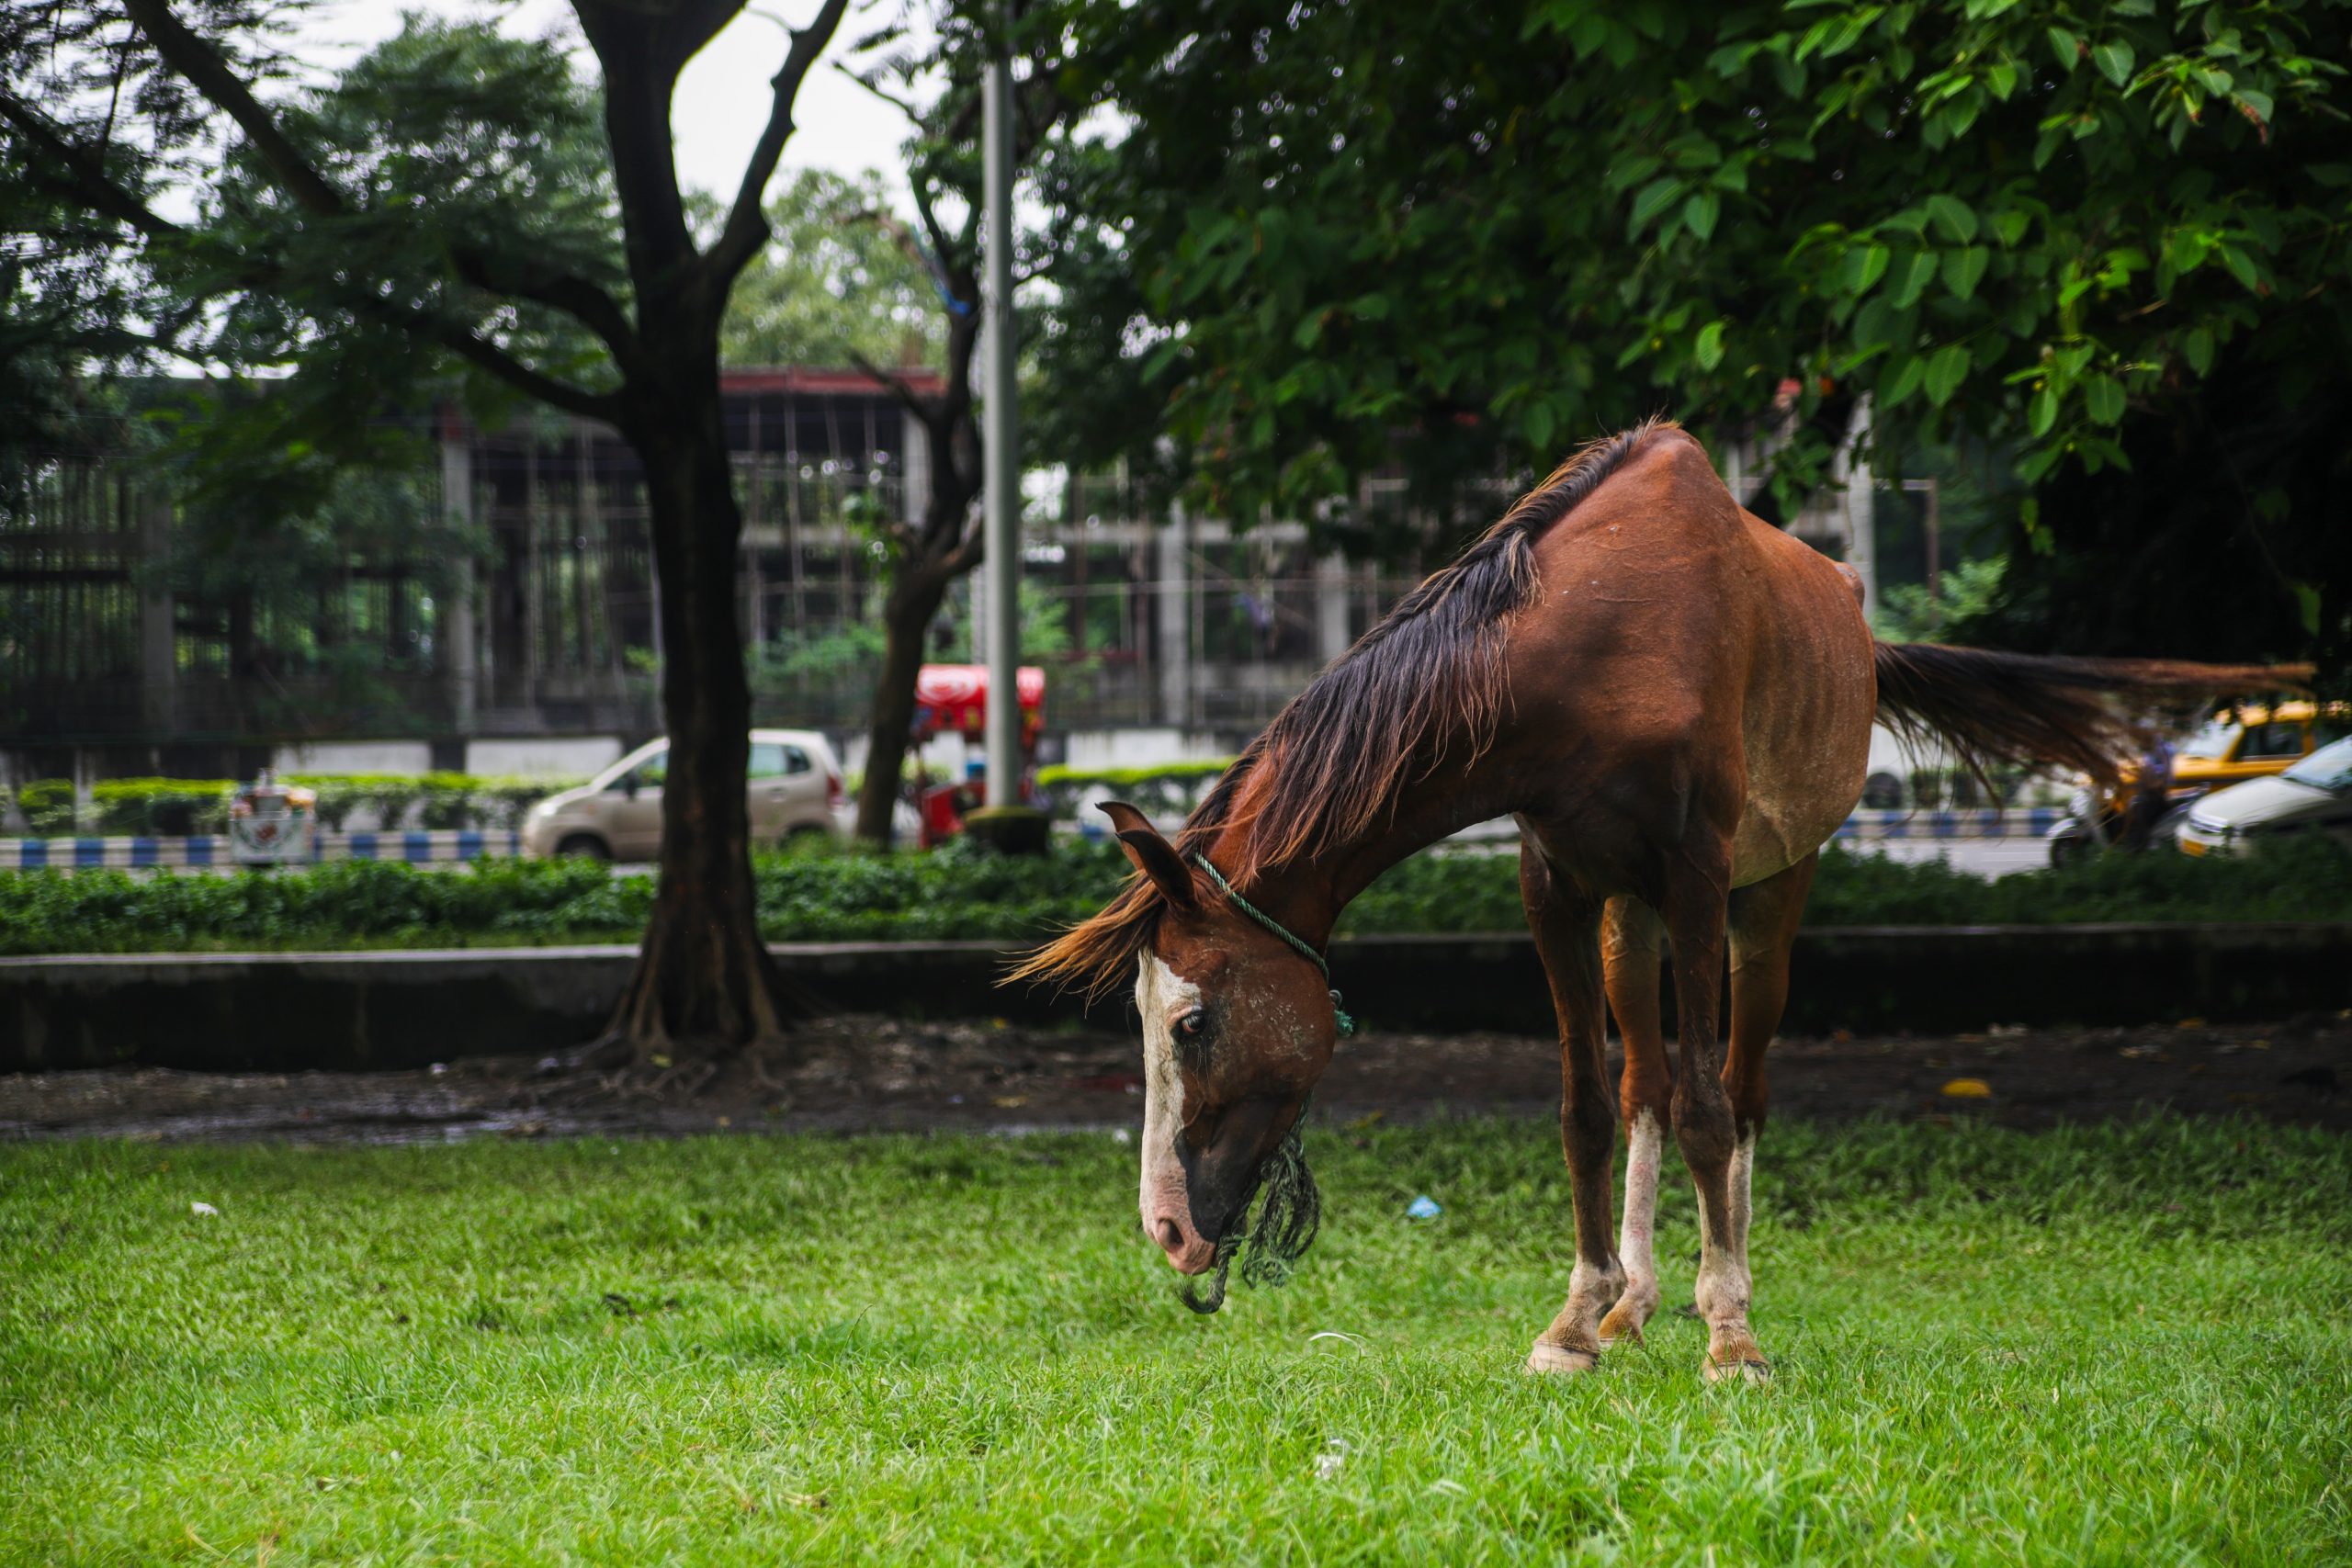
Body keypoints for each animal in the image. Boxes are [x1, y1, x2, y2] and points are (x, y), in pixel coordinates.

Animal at [1015, 421, 2295, 1382]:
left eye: (1189, 1023)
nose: (1168, 1231)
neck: (1584, 643)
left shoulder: (1694, 872)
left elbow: (1711, 1110)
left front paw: (1730, 1334)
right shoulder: (1555, 886)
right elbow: (1588, 1108)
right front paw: (1575, 1323)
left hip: (1767, 897)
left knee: (1737, 1084)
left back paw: (1721, 1289)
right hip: (1626, 925)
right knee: (1640, 1086)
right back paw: (1632, 1302)